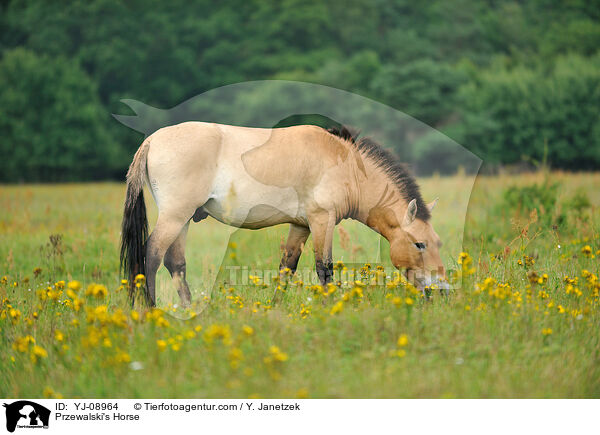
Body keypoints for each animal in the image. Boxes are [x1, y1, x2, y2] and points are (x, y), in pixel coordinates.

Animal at [119, 122, 448, 306]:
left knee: (176, 264)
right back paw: (151, 310)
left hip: (184, 219)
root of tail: (152, 140)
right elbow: (324, 268)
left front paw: (275, 306)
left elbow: (286, 268)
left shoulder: (300, 226)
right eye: (419, 244)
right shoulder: (322, 221)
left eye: (437, 243)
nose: (442, 290)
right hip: (175, 217)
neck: (347, 167)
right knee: (152, 255)